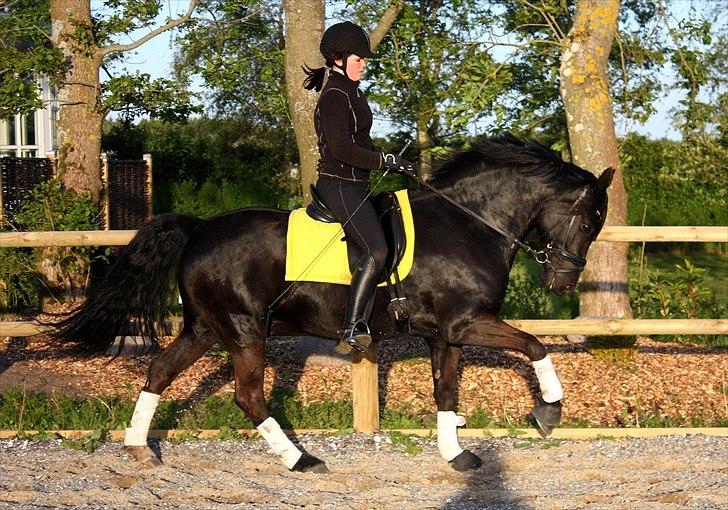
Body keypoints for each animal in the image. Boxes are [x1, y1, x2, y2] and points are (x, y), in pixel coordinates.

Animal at [51, 133, 612, 472]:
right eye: (589, 220)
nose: (563, 282)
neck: (468, 223)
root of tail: (199, 228)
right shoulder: (468, 323)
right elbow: (535, 346)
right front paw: (548, 413)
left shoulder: (447, 332)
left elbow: (446, 391)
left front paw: (455, 455)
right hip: (244, 330)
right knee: (247, 396)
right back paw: (299, 460)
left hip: (207, 327)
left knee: (160, 371)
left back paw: (138, 446)